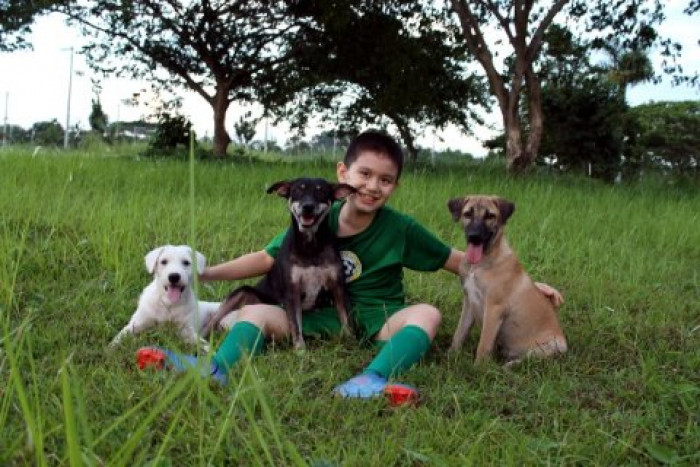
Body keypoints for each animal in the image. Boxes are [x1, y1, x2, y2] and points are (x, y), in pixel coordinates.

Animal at [109, 245, 238, 352]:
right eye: (163, 262)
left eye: (186, 262)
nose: (174, 276)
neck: (169, 304)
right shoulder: (138, 323)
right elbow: (122, 334)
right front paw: (111, 348)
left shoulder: (186, 331)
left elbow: (201, 343)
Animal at [201, 177, 356, 350]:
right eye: (297, 190)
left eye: (321, 190)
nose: (307, 207)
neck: (310, 246)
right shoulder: (292, 291)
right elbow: (296, 325)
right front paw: (300, 349)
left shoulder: (338, 287)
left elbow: (347, 320)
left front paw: (353, 343)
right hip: (240, 293)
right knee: (210, 324)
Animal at [448, 195, 568, 366]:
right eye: (468, 214)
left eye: (490, 216)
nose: (474, 237)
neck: (479, 264)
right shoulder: (469, 302)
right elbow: (459, 333)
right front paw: (451, 356)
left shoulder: (494, 308)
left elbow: (483, 345)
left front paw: (478, 369)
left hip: (551, 346)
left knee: (527, 359)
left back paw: (507, 366)